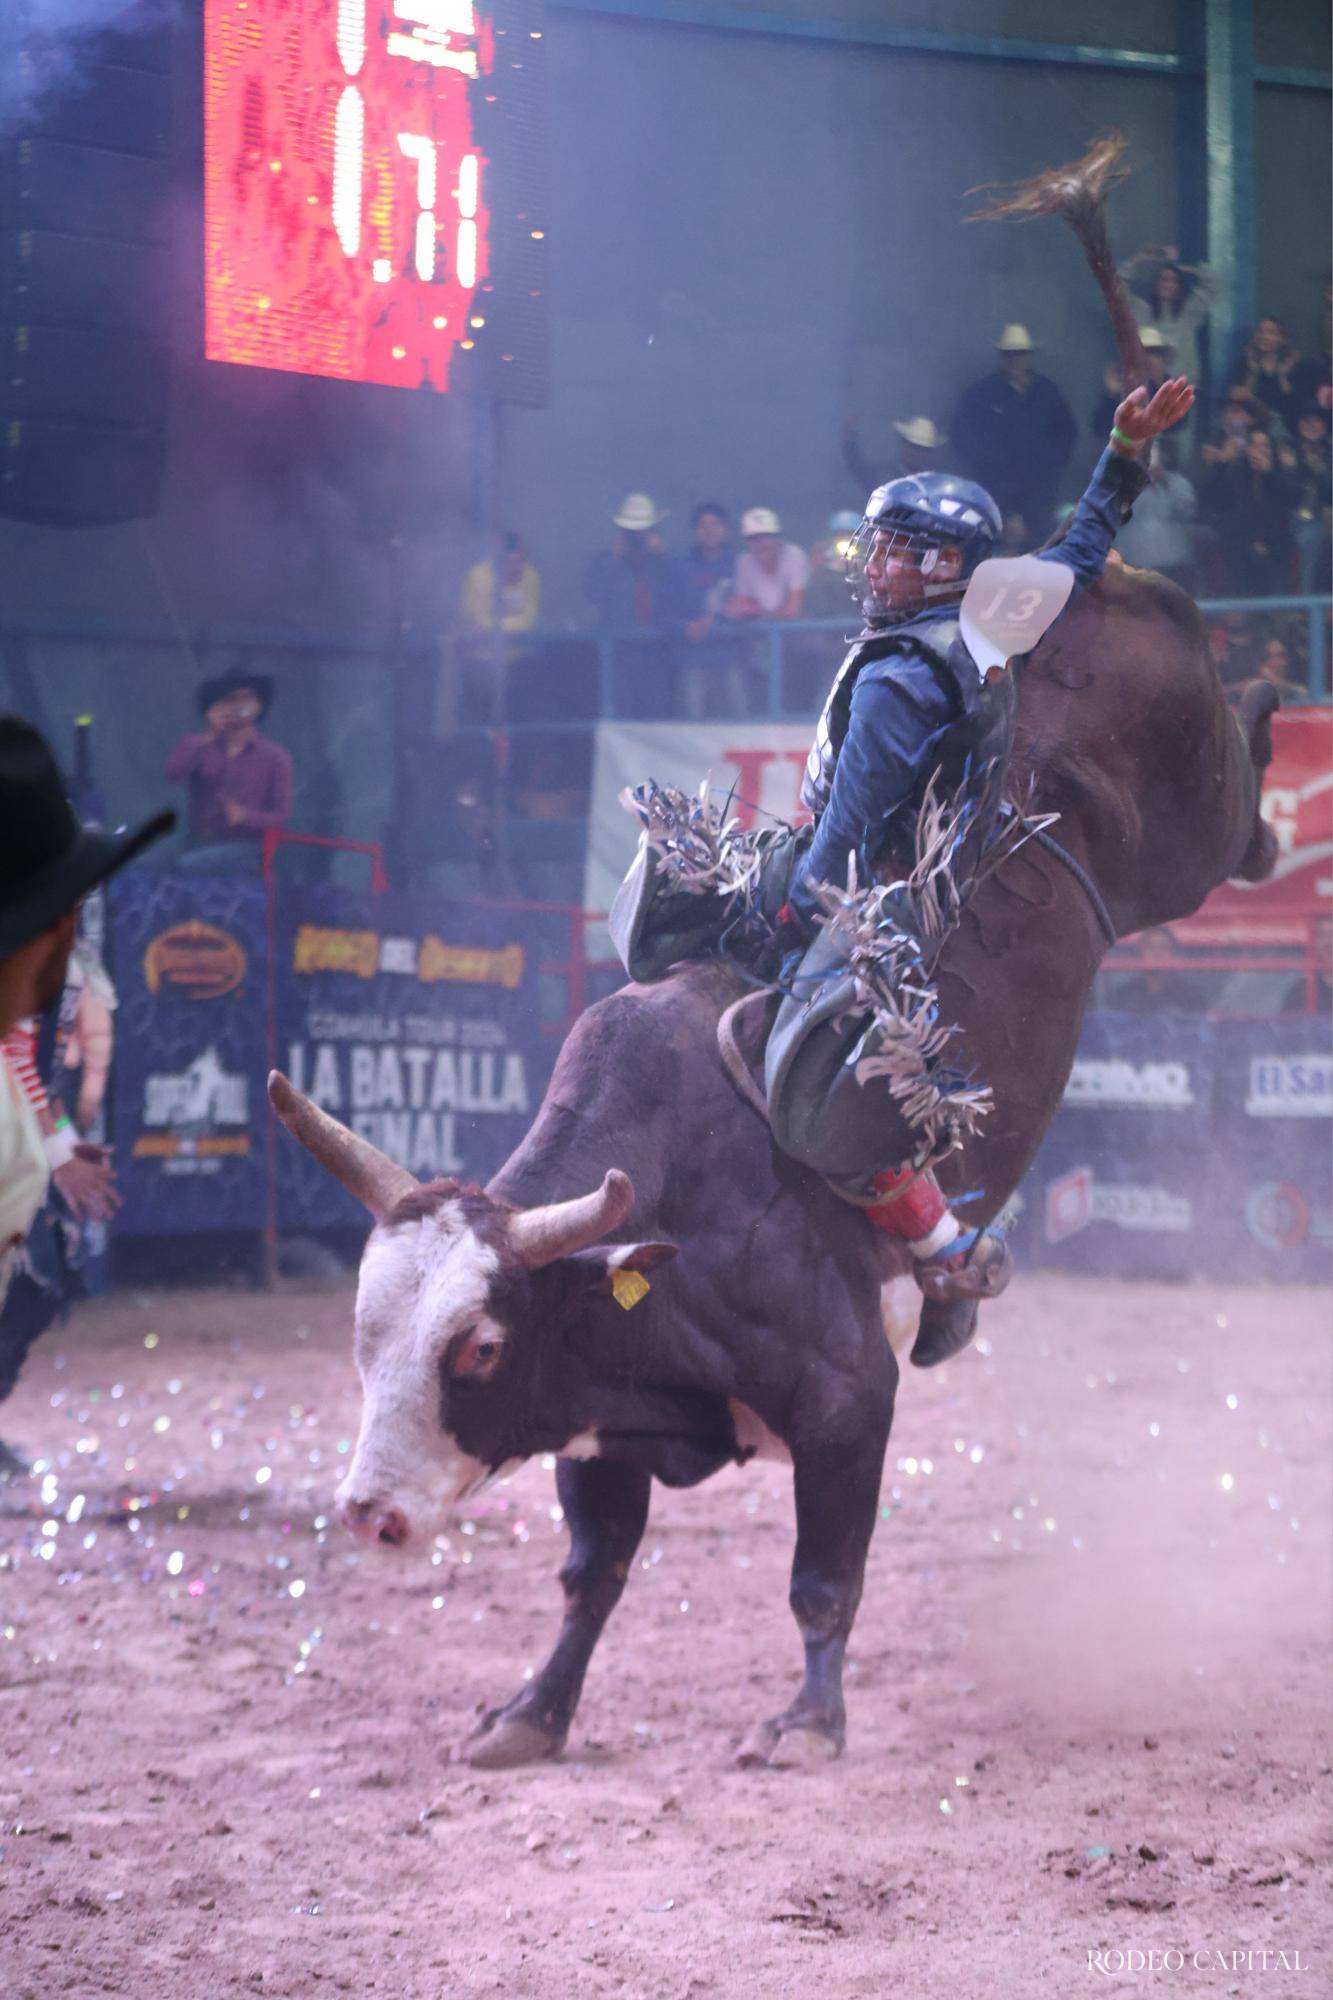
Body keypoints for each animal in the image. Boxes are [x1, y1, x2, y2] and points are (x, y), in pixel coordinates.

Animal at [264, 141, 1272, 1768]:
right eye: (362, 1337)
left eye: (473, 1349)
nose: (369, 1511)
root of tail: (1070, 596)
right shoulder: (603, 1421)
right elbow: (594, 1573)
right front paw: (531, 1712)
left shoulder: (846, 1402)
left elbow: (821, 1574)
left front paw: (805, 1719)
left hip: (1189, 804)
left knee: (1240, 797)